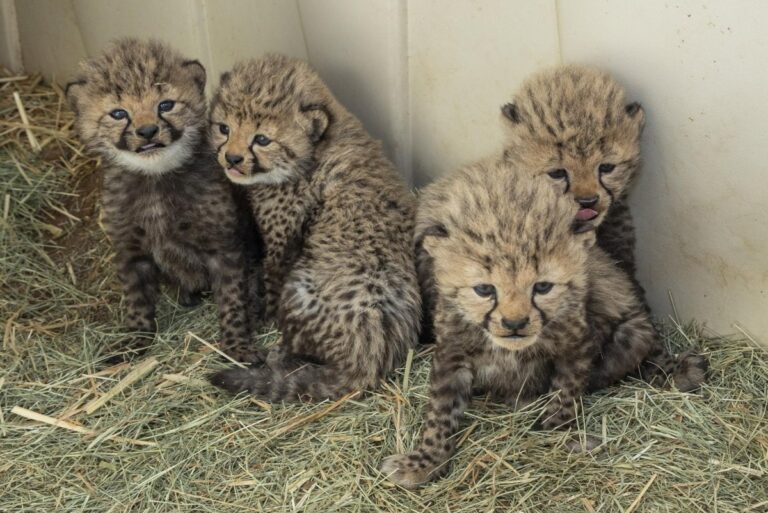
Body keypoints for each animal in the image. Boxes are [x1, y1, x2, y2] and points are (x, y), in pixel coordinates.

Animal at [66, 38, 262, 363]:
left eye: (165, 105)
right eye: (118, 114)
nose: (147, 132)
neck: (155, 179)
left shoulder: (224, 248)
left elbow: (233, 301)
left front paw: (237, 347)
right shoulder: (131, 251)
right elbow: (136, 301)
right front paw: (134, 342)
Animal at [206, 54, 421, 401]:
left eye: (262, 139)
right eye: (223, 128)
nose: (232, 159)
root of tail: (369, 358)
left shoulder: (282, 241)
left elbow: (272, 278)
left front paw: (264, 314)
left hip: (300, 290)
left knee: (294, 345)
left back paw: (276, 354)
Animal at [382, 157, 706, 488]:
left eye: (542, 287)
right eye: (484, 289)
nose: (515, 323)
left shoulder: (577, 345)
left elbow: (566, 394)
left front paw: (559, 431)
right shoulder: (452, 353)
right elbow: (441, 412)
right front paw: (425, 460)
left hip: (633, 331)